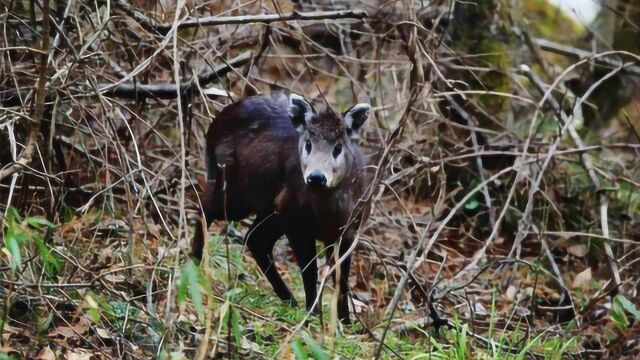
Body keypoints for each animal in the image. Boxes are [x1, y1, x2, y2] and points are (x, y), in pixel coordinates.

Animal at [191, 92, 370, 324]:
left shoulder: (348, 229)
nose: (316, 177)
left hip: (269, 209)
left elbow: (342, 278)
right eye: (308, 144)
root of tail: (213, 127)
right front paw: (312, 316)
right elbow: (309, 271)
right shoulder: (295, 221)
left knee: (255, 238)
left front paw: (345, 322)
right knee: (205, 208)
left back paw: (290, 300)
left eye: (338, 148)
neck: (327, 215)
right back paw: (194, 263)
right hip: (235, 191)